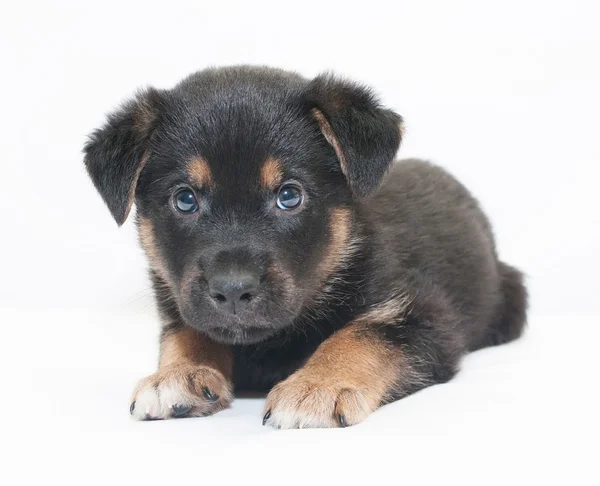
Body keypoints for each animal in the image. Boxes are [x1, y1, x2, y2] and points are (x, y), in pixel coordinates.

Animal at [83, 65, 524, 430]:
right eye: (185, 200)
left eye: (289, 196)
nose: (232, 291)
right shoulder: (182, 301)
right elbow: (188, 331)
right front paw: (177, 374)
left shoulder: (424, 314)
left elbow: (361, 336)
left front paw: (318, 385)